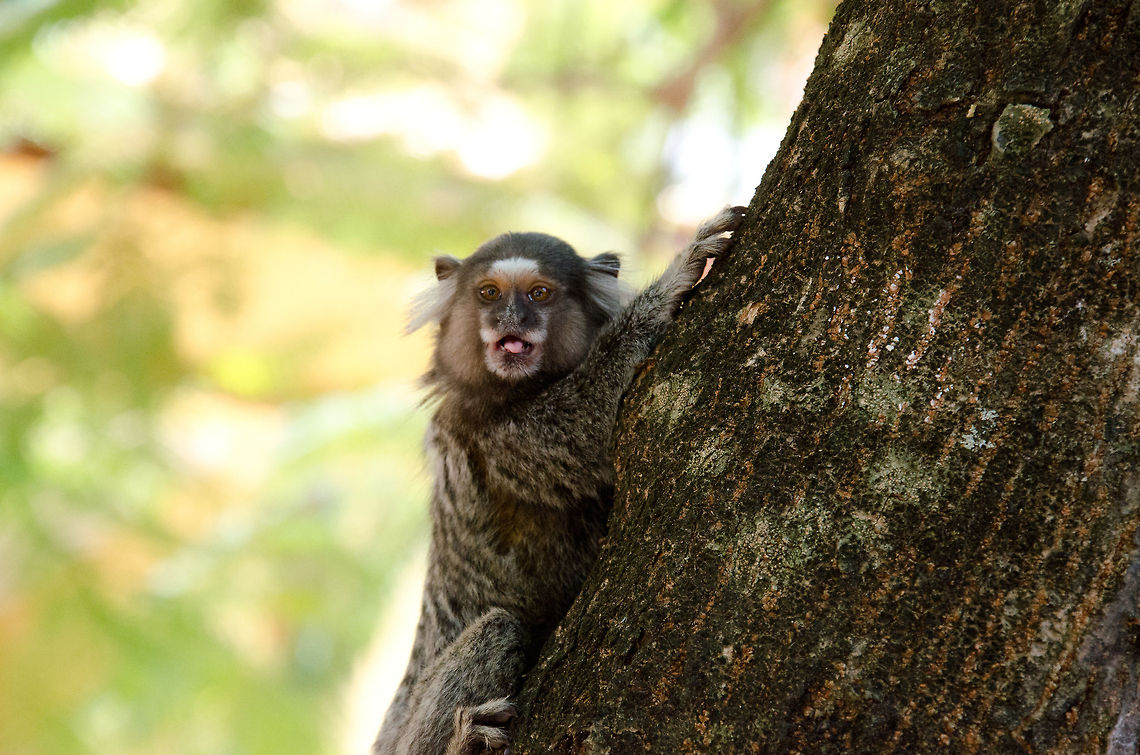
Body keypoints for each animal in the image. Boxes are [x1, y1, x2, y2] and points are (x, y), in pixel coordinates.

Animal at [372, 206, 746, 755]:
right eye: (489, 293)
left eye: (539, 294)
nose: (511, 320)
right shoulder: (496, 437)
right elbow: (587, 426)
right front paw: (676, 276)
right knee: (498, 630)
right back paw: (465, 739)